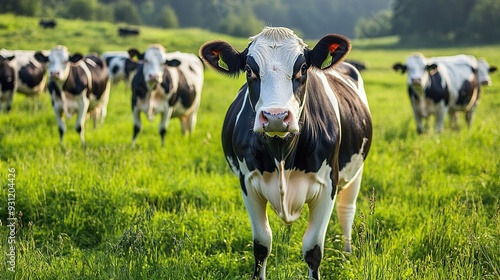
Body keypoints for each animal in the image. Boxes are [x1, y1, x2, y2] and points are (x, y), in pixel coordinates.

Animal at [199, 26, 372, 280]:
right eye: (249, 70)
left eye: (303, 68)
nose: (276, 116)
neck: (282, 154)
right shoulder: (247, 183)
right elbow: (262, 245)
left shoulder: (328, 184)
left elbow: (313, 249)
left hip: (356, 170)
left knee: (347, 210)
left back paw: (347, 255)